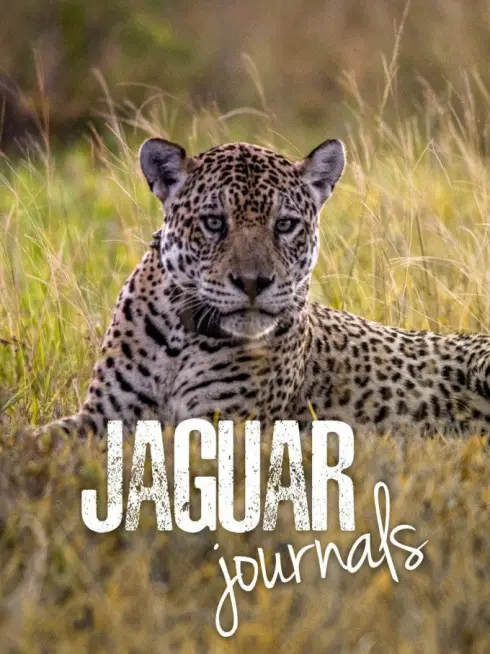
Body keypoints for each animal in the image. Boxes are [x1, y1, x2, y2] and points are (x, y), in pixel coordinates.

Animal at [42, 136, 490, 438]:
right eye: (214, 222)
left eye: (286, 224)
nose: (253, 282)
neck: (180, 340)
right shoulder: (101, 416)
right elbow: (42, 440)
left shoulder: (224, 423)